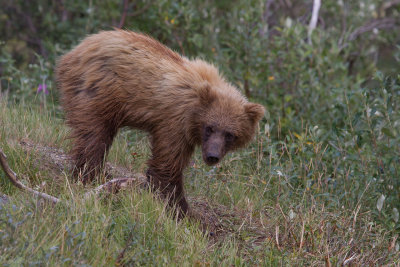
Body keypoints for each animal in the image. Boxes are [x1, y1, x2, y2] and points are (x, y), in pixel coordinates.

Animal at [54, 30, 264, 217]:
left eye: (230, 134)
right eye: (210, 128)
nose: (212, 156)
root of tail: (76, 50)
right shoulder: (175, 121)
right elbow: (167, 163)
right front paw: (181, 209)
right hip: (99, 92)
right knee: (94, 135)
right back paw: (90, 175)